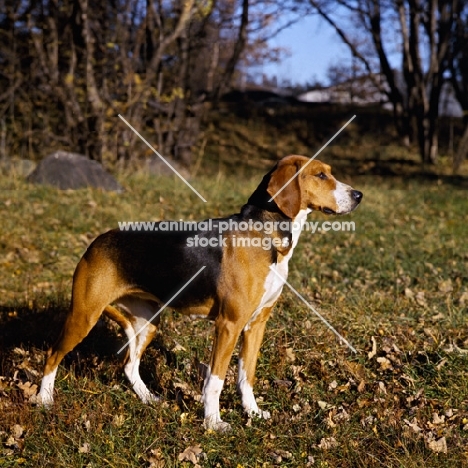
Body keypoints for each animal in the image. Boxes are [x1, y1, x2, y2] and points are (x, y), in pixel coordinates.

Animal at [39, 156, 362, 432]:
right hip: (84, 315)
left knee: (130, 366)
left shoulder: (256, 325)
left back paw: (148, 398)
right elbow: (215, 380)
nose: (358, 195)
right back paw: (43, 399)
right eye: (321, 175)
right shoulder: (228, 325)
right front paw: (213, 422)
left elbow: (246, 376)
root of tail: (95, 242)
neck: (264, 233)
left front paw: (253, 413)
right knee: (53, 354)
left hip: (147, 323)